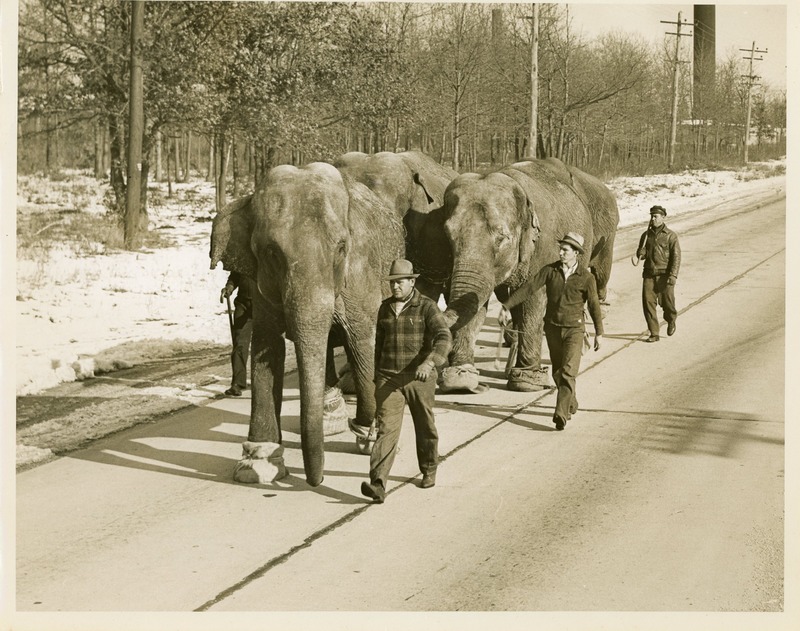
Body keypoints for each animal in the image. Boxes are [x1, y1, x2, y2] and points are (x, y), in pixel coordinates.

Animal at [211, 160, 406, 486]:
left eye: (341, 248)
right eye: (271, 253)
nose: (319, 481)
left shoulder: (361, 268)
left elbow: (361, 338)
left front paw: (368, 435)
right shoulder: (262, 283)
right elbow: (267, 345)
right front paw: (256, 465)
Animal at [410, 157, 620, 396]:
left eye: (502, 238)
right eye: (448, 236)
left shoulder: (544, 247)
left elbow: (533, 300)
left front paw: (527, 383)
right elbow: (476, 305)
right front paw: (461, 380)